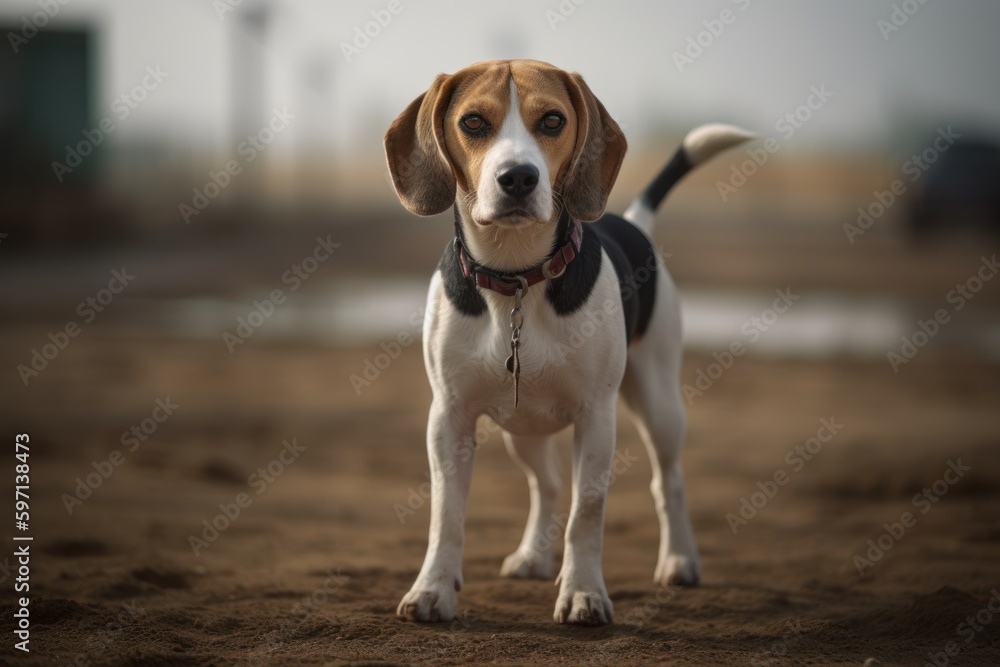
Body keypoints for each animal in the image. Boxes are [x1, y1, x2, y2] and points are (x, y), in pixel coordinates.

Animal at [382, 58, 752, 628]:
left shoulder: (596, 418)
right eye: (473, 122)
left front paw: (583, 594)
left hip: (660, 404)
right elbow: (447, 515)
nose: (518, 177)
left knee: (667, 481)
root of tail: (632, 221)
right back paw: (534, 557)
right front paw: (432, 589)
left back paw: (679, 560)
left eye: (553, 120)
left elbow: (587, 514)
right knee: (548, 485)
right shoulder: (448, 418)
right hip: (522, 427)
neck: (516, 279)